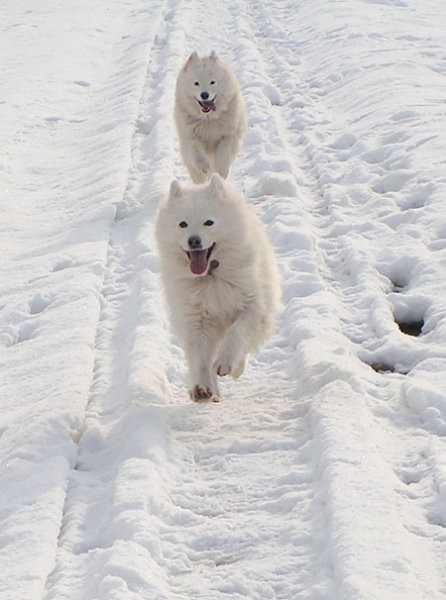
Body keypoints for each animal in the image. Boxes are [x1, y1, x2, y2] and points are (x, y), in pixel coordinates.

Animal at [155, 172, 280, 404]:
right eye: (182, 224)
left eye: (209, 222)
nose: (194, 241)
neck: (211, 277)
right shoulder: (197, 321)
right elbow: (201, 357)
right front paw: (202, 388)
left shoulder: (252, 306)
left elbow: (236, 332)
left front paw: (226, 363)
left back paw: (235, 368)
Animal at [173, 50, 247, 184]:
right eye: (196, 83)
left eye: (212, 82)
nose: (204, 95)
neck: (208, 120)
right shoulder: (191, 136)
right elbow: (198, 154)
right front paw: (204, 167)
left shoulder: (228, 135)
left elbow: (223, 155)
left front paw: (221, 172)